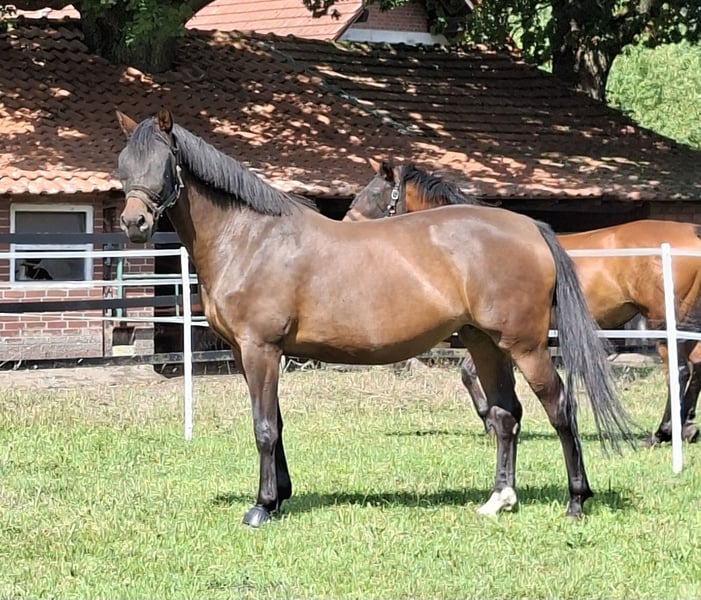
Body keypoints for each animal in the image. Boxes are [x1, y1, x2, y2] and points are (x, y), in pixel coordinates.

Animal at [116, 109, 635, 527]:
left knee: (560, 407)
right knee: (506, 414)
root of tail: (530, 227)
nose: (134, 224)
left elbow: (263, 428)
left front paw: (261, 507)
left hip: (525, 346)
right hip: (484, 342)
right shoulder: (259, 355)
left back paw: (576, 501)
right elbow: (276, 425)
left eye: (163, 163)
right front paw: (280, 496)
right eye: (123, 164)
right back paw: (498, 500)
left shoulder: (260, 350)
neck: (251, 237)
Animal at [344, 159, 700, 445]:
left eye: (373, 195)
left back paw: (664, 432)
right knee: (696, 366)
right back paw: (686, 428)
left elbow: (468, 373)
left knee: (679, 369)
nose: (345, 229)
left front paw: (490, 422)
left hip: (663, 320)